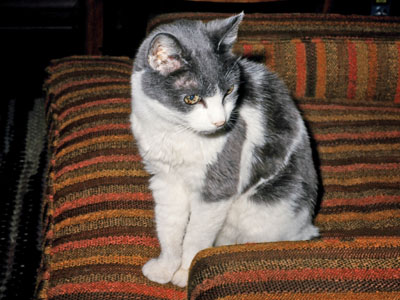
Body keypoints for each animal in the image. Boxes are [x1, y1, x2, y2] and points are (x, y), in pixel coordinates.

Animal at [130, 12, 318, 288]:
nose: (220, 122)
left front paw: (185, 273)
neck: (177, 133)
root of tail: (307, 228)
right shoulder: (165, 180)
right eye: (192, 98)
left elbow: (196, 238)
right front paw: (165, 268)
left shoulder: (217, 188)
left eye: (229, 90)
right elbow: (169, 228)